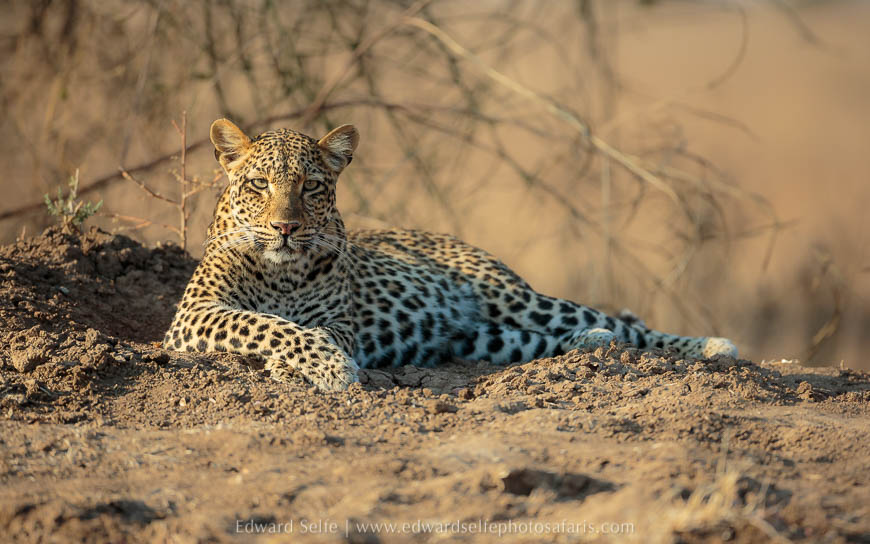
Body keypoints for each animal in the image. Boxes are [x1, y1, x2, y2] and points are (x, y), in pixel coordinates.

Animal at [163, 118, 738, 391]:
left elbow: (307, 331)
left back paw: (711, 346)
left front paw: (320, 366)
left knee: (622, 324)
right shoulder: (193, 316)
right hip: (482, 335)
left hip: (512, 297)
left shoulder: (340, 321)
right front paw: (320, 366)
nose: (285, 227)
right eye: (259, 184)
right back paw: (591, 342)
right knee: (542, 339)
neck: (281, 273)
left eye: (312, 186)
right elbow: (267, 325)